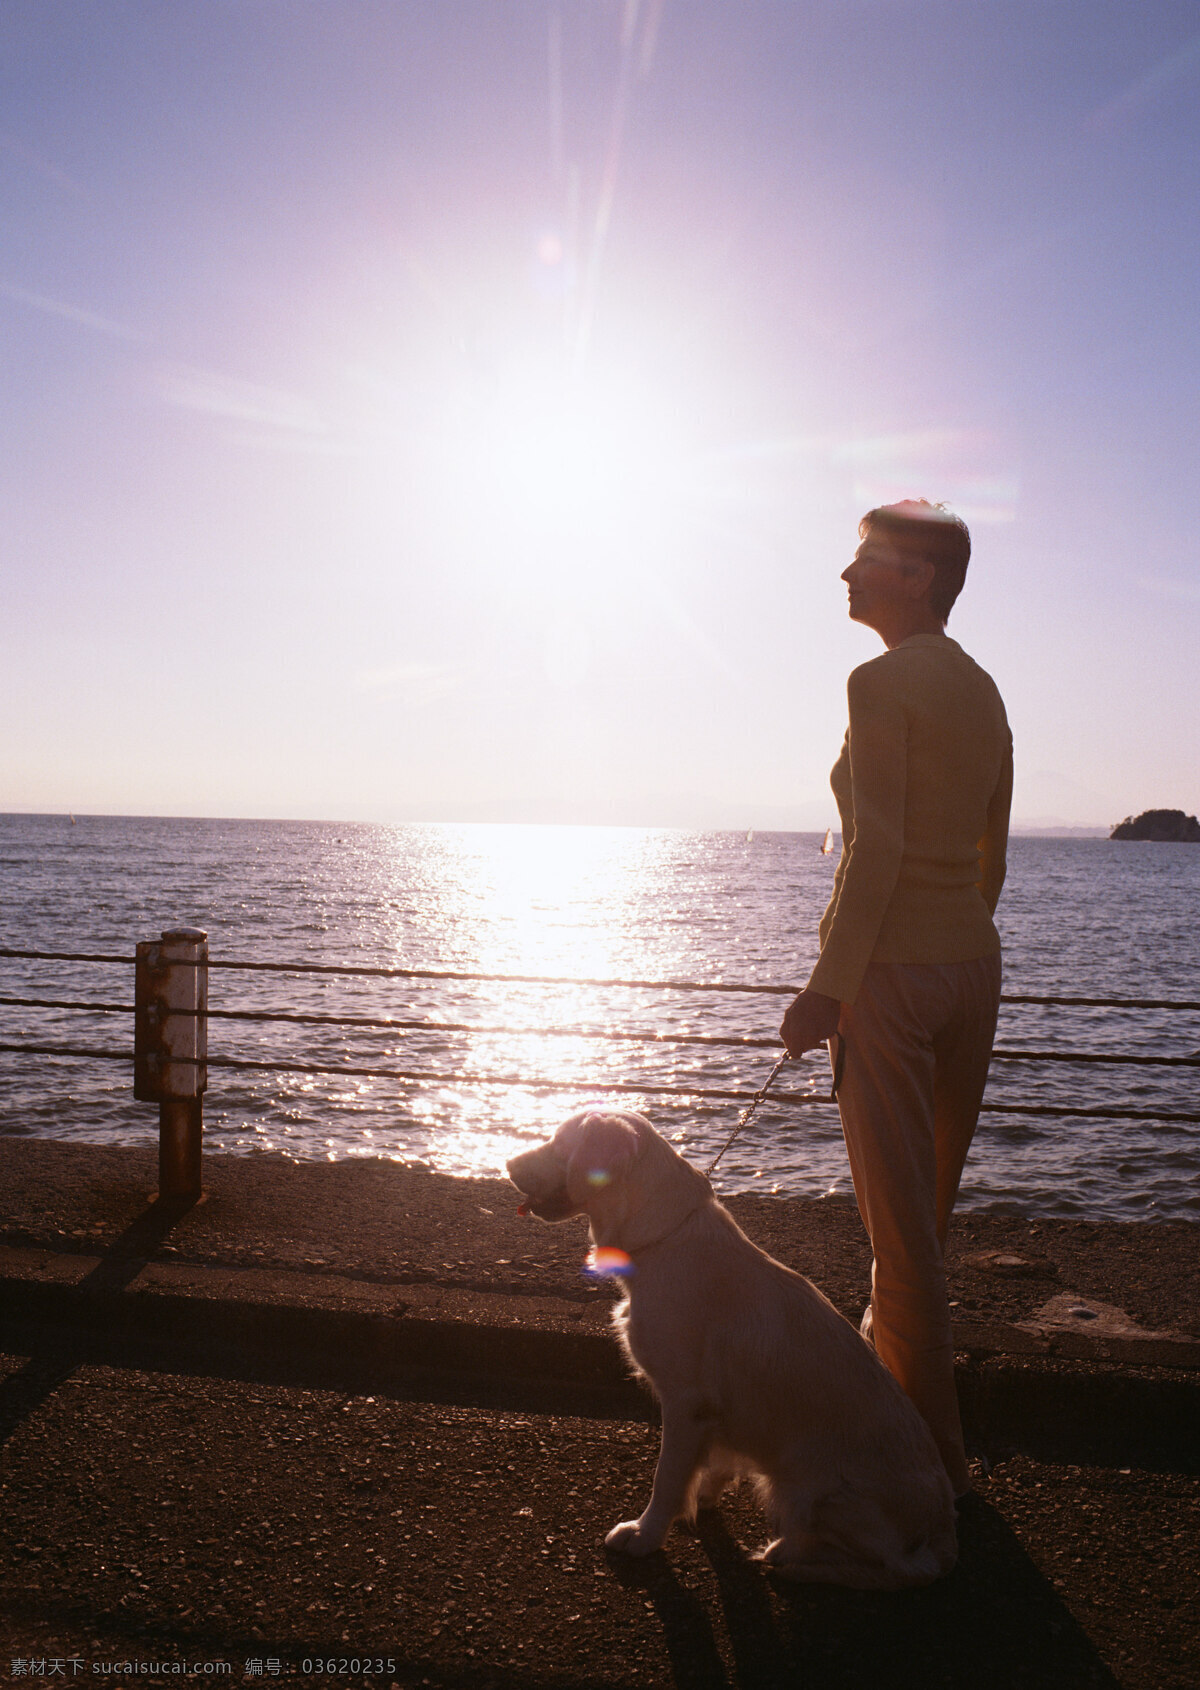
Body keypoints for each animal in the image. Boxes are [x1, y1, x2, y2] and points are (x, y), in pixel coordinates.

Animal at [507, 1108, 960, 1581]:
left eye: (561, 1143)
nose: (507, 1164)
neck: (663, 1237)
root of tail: (943, 1532)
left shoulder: (686, 1401)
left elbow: (666, 1477)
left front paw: (645, 1535)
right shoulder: (713, 1412)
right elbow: (712, 1463)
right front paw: (702, 1498)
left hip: (811, 1493)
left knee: (893, 1568)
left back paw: (789, 1556)